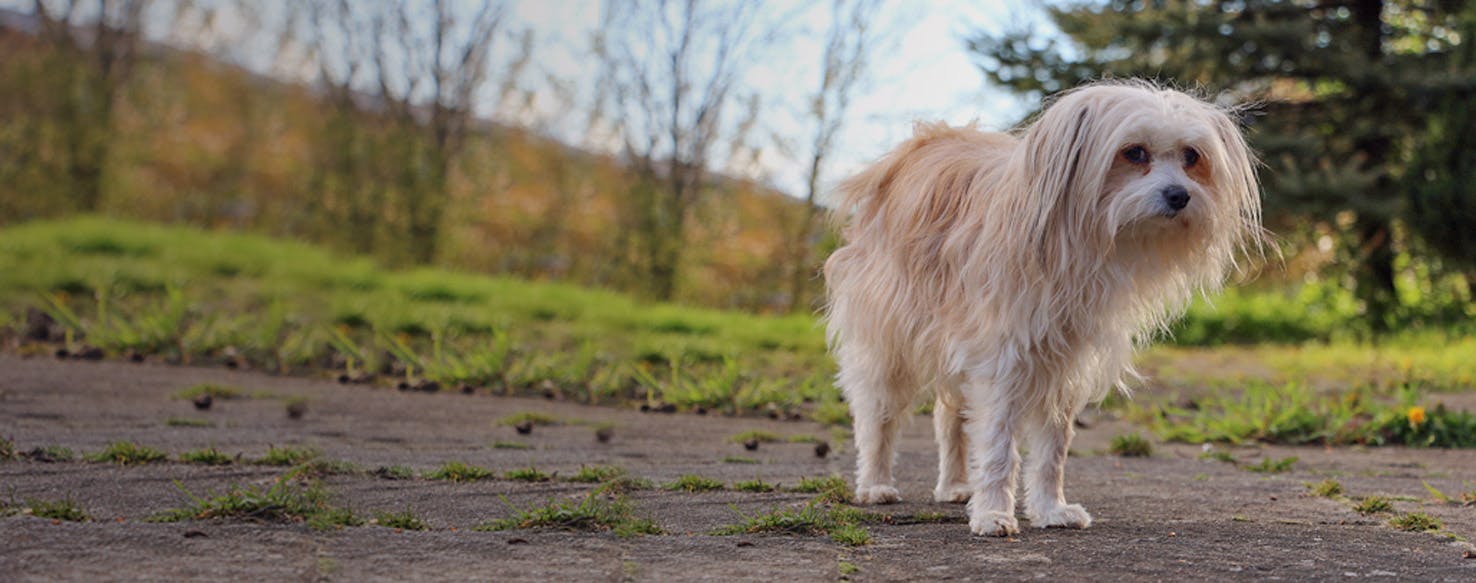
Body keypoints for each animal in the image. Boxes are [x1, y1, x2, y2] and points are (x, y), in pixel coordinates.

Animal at [826, 82, 1263, 540]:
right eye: (1134, 152)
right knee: (878, 415)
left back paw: (956, 485)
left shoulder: (1063, 364)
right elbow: (999, 446)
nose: (1180, 195)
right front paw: (993, 513)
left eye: (1192, 157)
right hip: (887, 339)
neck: (1075, 247)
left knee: (950, 418)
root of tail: (924, 141)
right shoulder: (1002, 358)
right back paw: (876, 483)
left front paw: (1050, 508)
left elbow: (1052, 449)